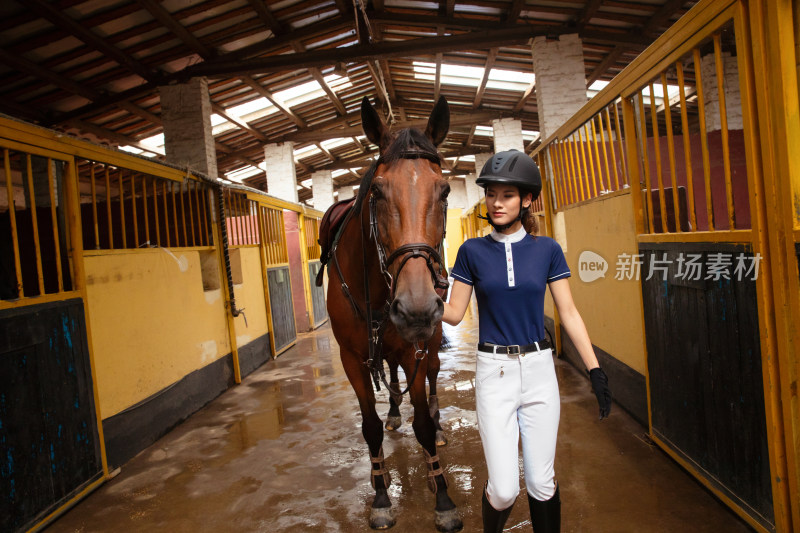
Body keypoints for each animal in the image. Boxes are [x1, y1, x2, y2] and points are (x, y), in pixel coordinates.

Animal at [324, 96, 462, 532]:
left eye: (445, 190)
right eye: (378, 192)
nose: (416, 307)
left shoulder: (415, 346)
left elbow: (423, 423)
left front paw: (443, 499)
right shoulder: (352, 357)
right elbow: (369, 427)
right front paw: (381, 494)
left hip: (428, 344)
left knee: (432, 377)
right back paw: (394, 416)